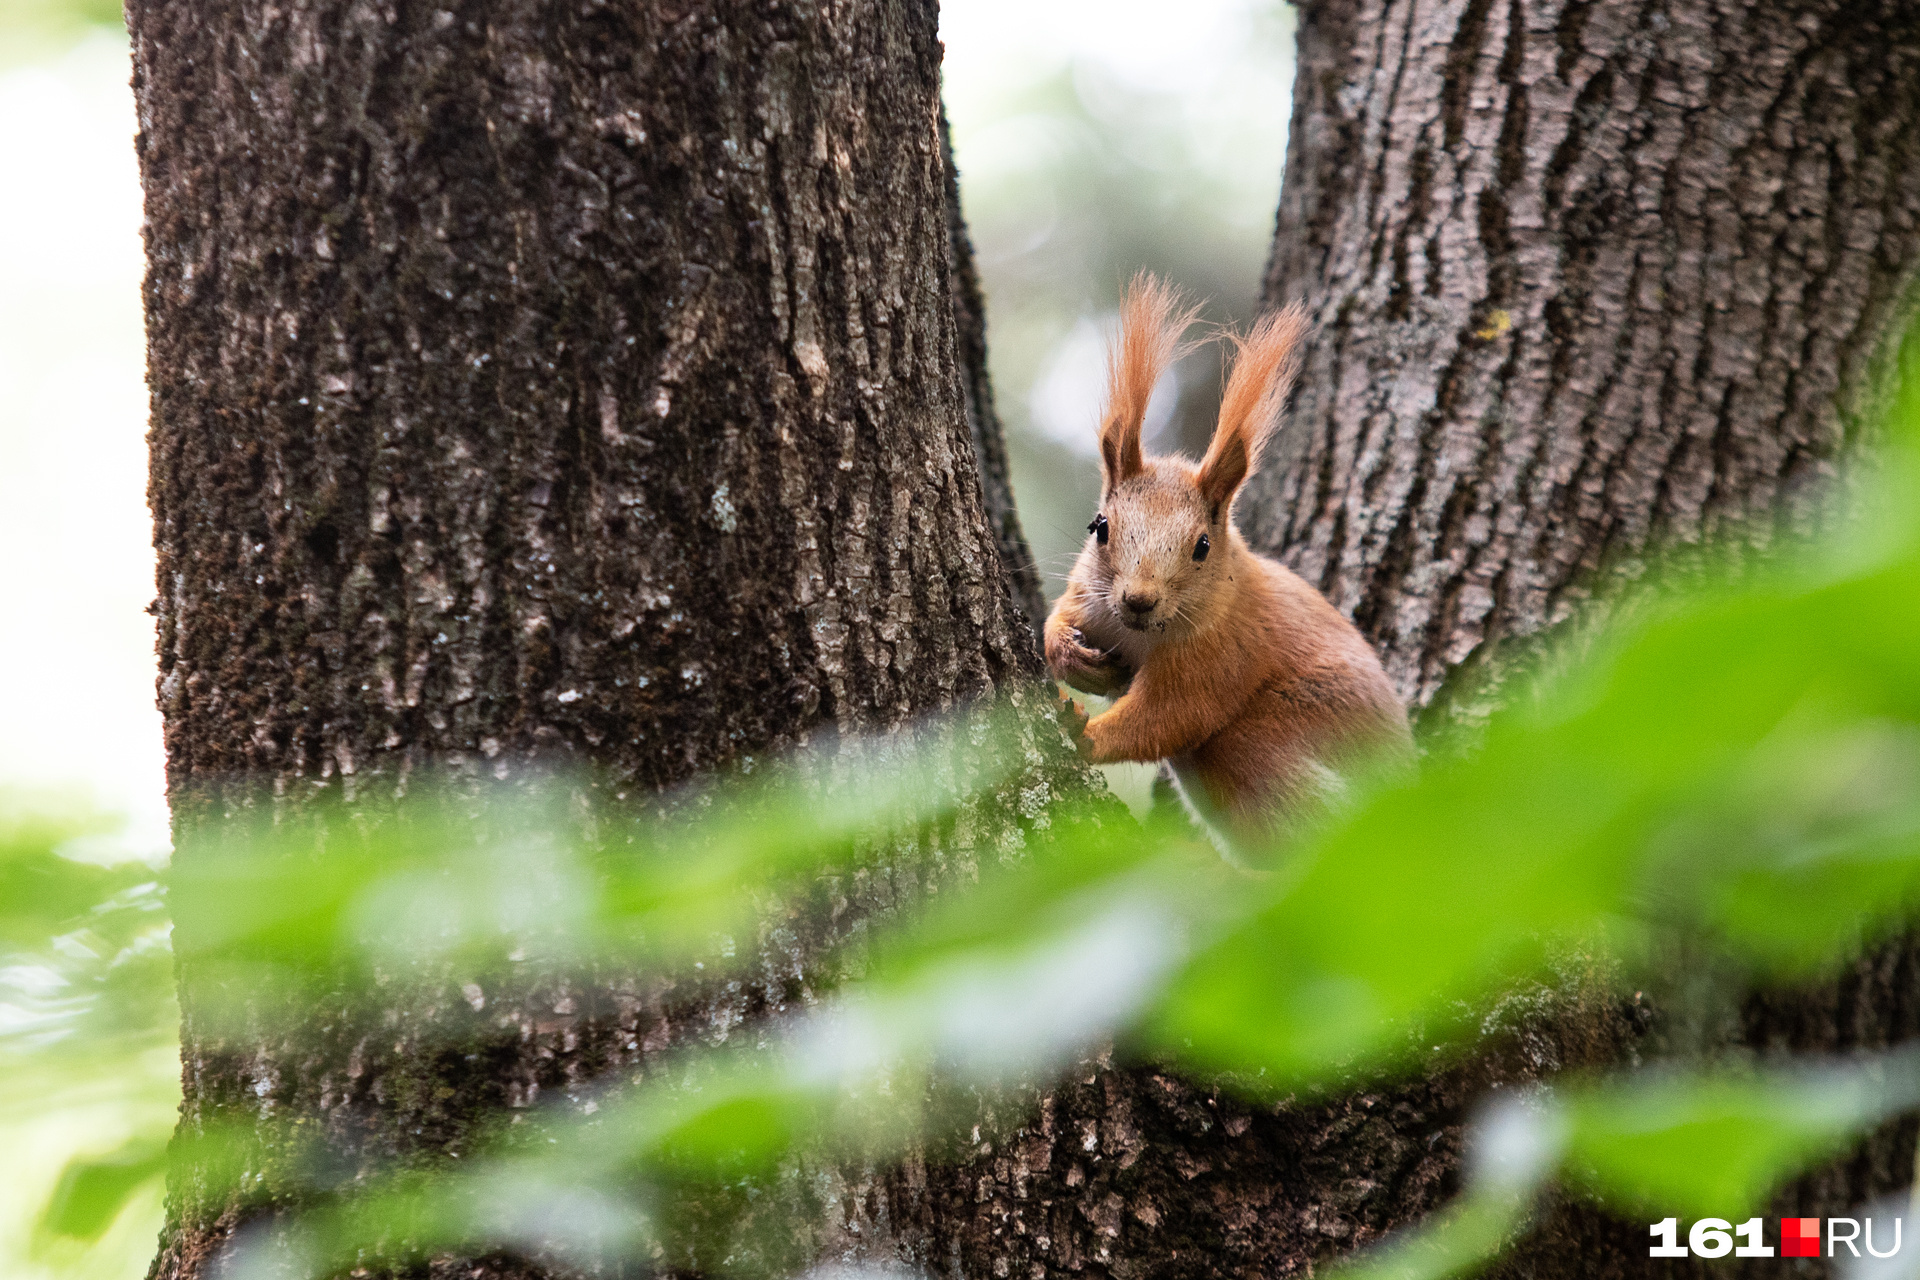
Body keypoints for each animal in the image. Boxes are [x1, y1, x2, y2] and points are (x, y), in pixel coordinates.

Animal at [1052, 276, 1413, 840]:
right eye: (1100, 528)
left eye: (1202, 546)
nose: (1138, 600)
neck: (1140, 634)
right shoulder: (1090, 595)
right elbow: (1055, 622)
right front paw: (1071, 656)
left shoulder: (1221, 655)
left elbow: (1167, 718)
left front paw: (1088, 735)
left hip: (1275, 738)